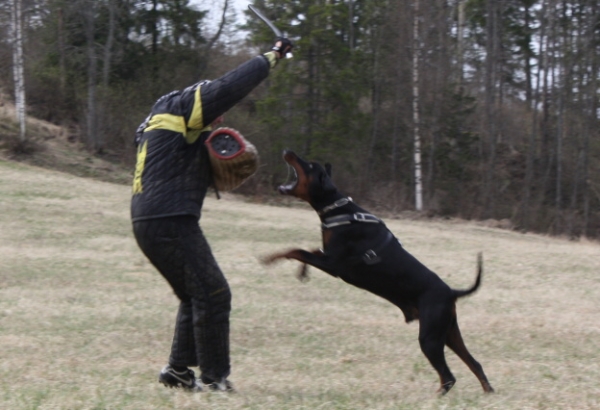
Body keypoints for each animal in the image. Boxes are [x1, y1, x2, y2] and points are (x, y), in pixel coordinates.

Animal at [264, 151, 494, 394]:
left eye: (308, 165)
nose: (288, 152)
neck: (337, 208)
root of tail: (452, 292)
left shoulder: (334, 265)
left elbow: (297, 250)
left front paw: (269, 259)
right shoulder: (327, 257)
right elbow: (308, 250)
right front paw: (302, 272)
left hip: (430, 336)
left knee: (448, 376)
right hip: (448, 332)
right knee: (475, 363)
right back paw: (488, 393)